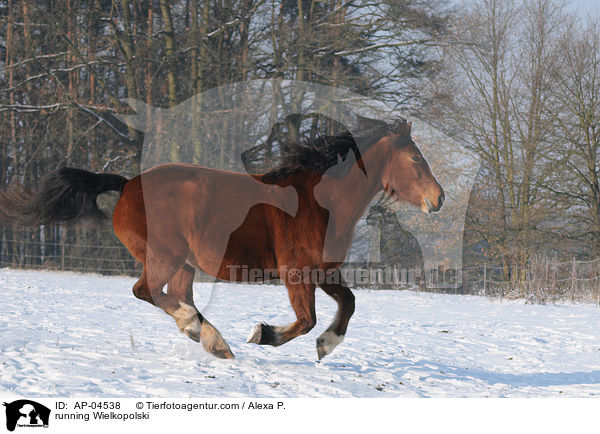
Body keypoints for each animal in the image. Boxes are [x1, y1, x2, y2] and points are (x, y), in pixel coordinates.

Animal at [0, 115, 446, 360]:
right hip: (163, 255)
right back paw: (205, 334)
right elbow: (306, 320)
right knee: (148, 291)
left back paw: (207, 337)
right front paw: (263, 334)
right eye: (415, 158)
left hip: (184, 263)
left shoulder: (322, 271)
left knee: (176, 295)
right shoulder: (296, 273)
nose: (438, 198)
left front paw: (326, 346)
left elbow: (348, 304)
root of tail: (126, 185)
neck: (321, 202)